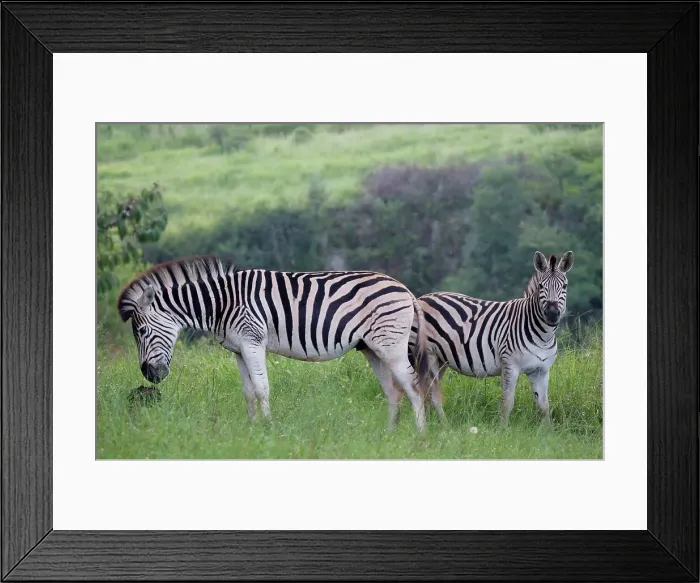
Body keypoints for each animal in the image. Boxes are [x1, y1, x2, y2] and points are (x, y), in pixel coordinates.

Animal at [117, 255, 432, 432]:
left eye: (142, 331)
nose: (149, 375)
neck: (221, 303)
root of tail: (404, 289)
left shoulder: (252, 341)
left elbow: (261, 387)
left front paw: (268, 428)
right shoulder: (238, 350)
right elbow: (247, 392)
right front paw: (252, 428)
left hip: (391, 345)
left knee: (413, 385)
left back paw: (419, 436)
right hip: (372, 348)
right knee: (393, 390)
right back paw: (389, 435)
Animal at [408, 251, 574, 425]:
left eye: (565, 286)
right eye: (541, 286)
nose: (552, 314)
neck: (543, 335)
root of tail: (421, 298)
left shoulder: (541, 371)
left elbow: (544, 406)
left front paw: (547, 430)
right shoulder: (510, 365)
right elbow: (507, 403)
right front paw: (504, 429)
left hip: (441, 359)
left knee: (427, 393)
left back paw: (432, 423)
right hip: (427, 355)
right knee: (432, 394)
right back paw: (445, 426)